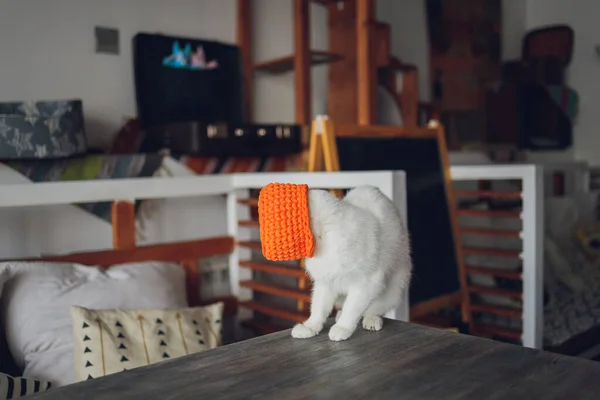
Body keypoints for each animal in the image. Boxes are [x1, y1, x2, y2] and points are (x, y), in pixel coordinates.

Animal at [290, 184, 412, 340]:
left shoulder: (366, 283)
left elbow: (352, 309)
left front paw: (342, 328)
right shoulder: (325, 282)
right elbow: (318, 309)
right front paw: (310, 327)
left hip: (393, 286)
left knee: (373, 308)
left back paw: (370, 320)